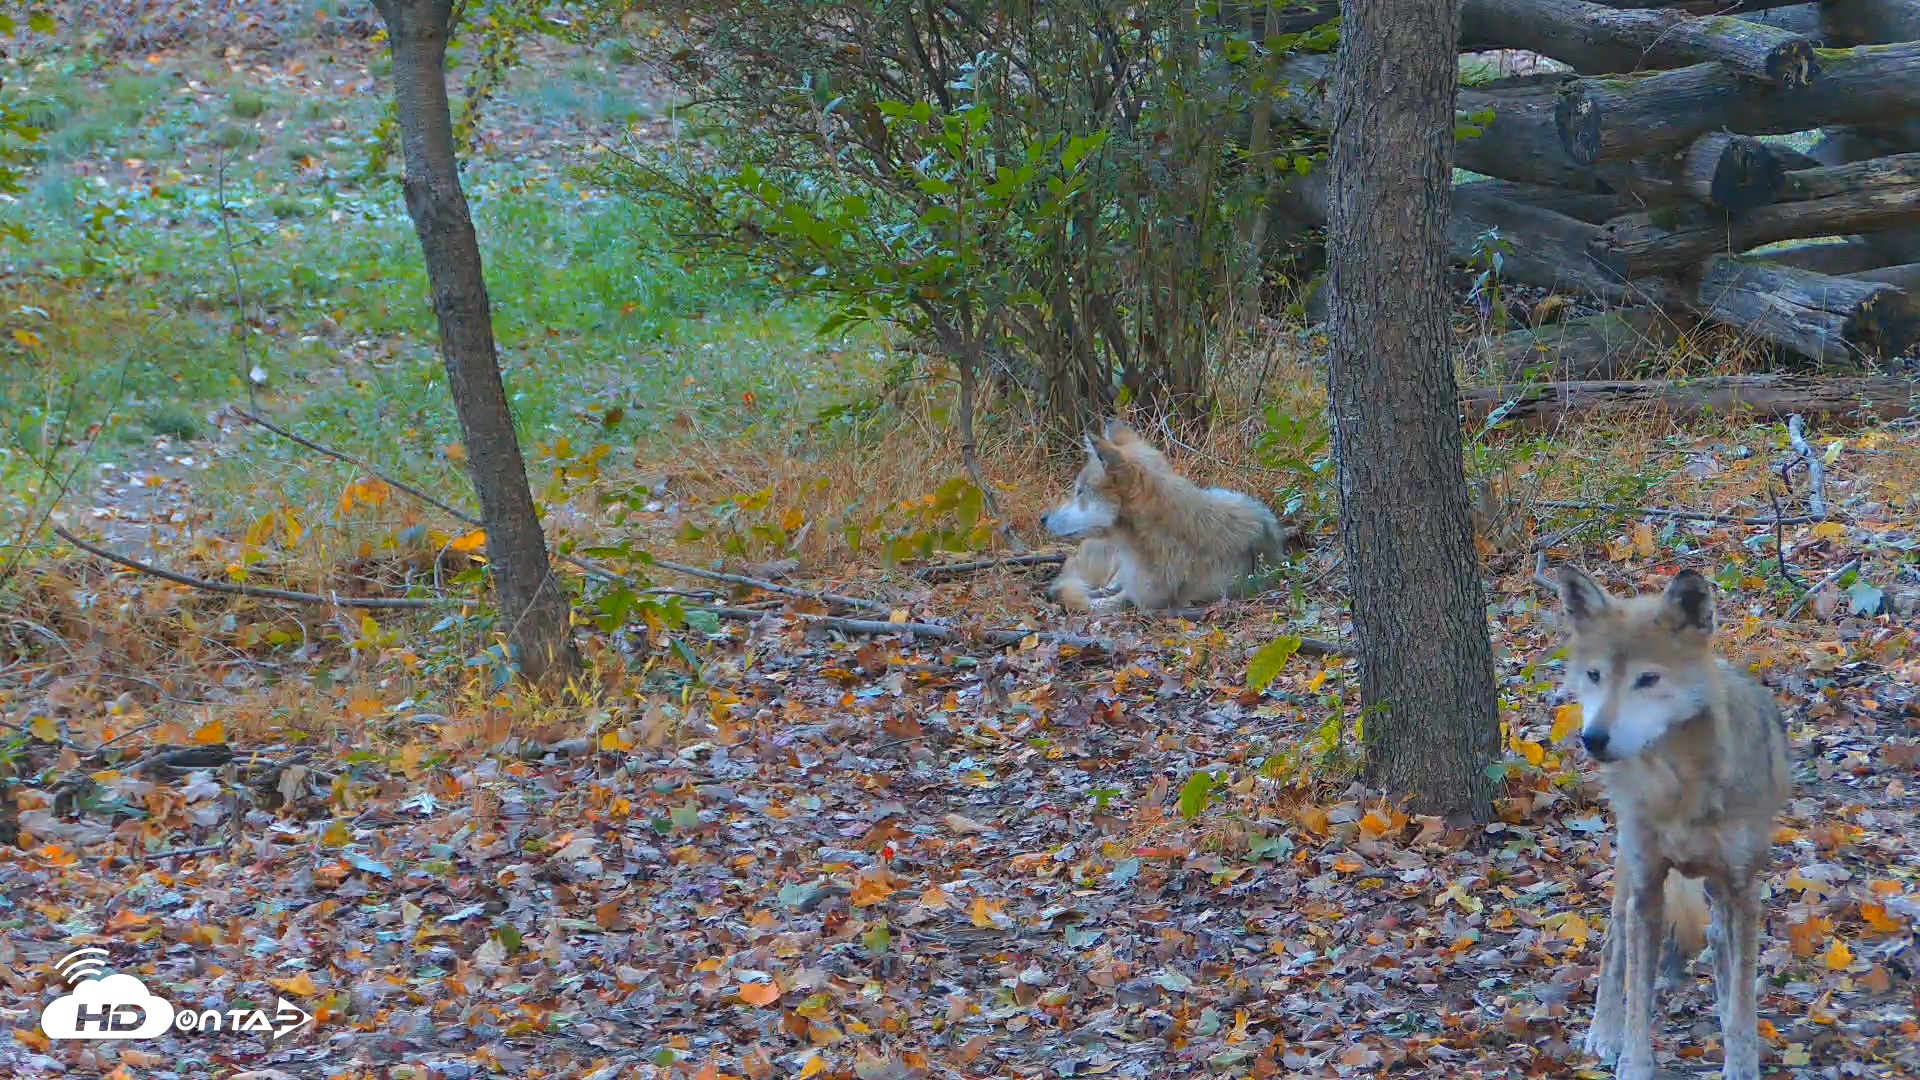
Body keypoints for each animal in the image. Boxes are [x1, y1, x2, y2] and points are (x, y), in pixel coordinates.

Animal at [1554, 564, 1792, 1080]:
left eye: (1647, 679)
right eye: (1595, 675)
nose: (1593, 738)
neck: (1678, 783)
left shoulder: (1742, 890)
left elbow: (1742, 999)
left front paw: (1741, 1064)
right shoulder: (1647, 887)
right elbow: (1637, 998)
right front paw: (1632, 1063)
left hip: (1719, 891)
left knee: (1719, 948)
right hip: (1628, 874)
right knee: (1613, 944)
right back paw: (1603, 1033)